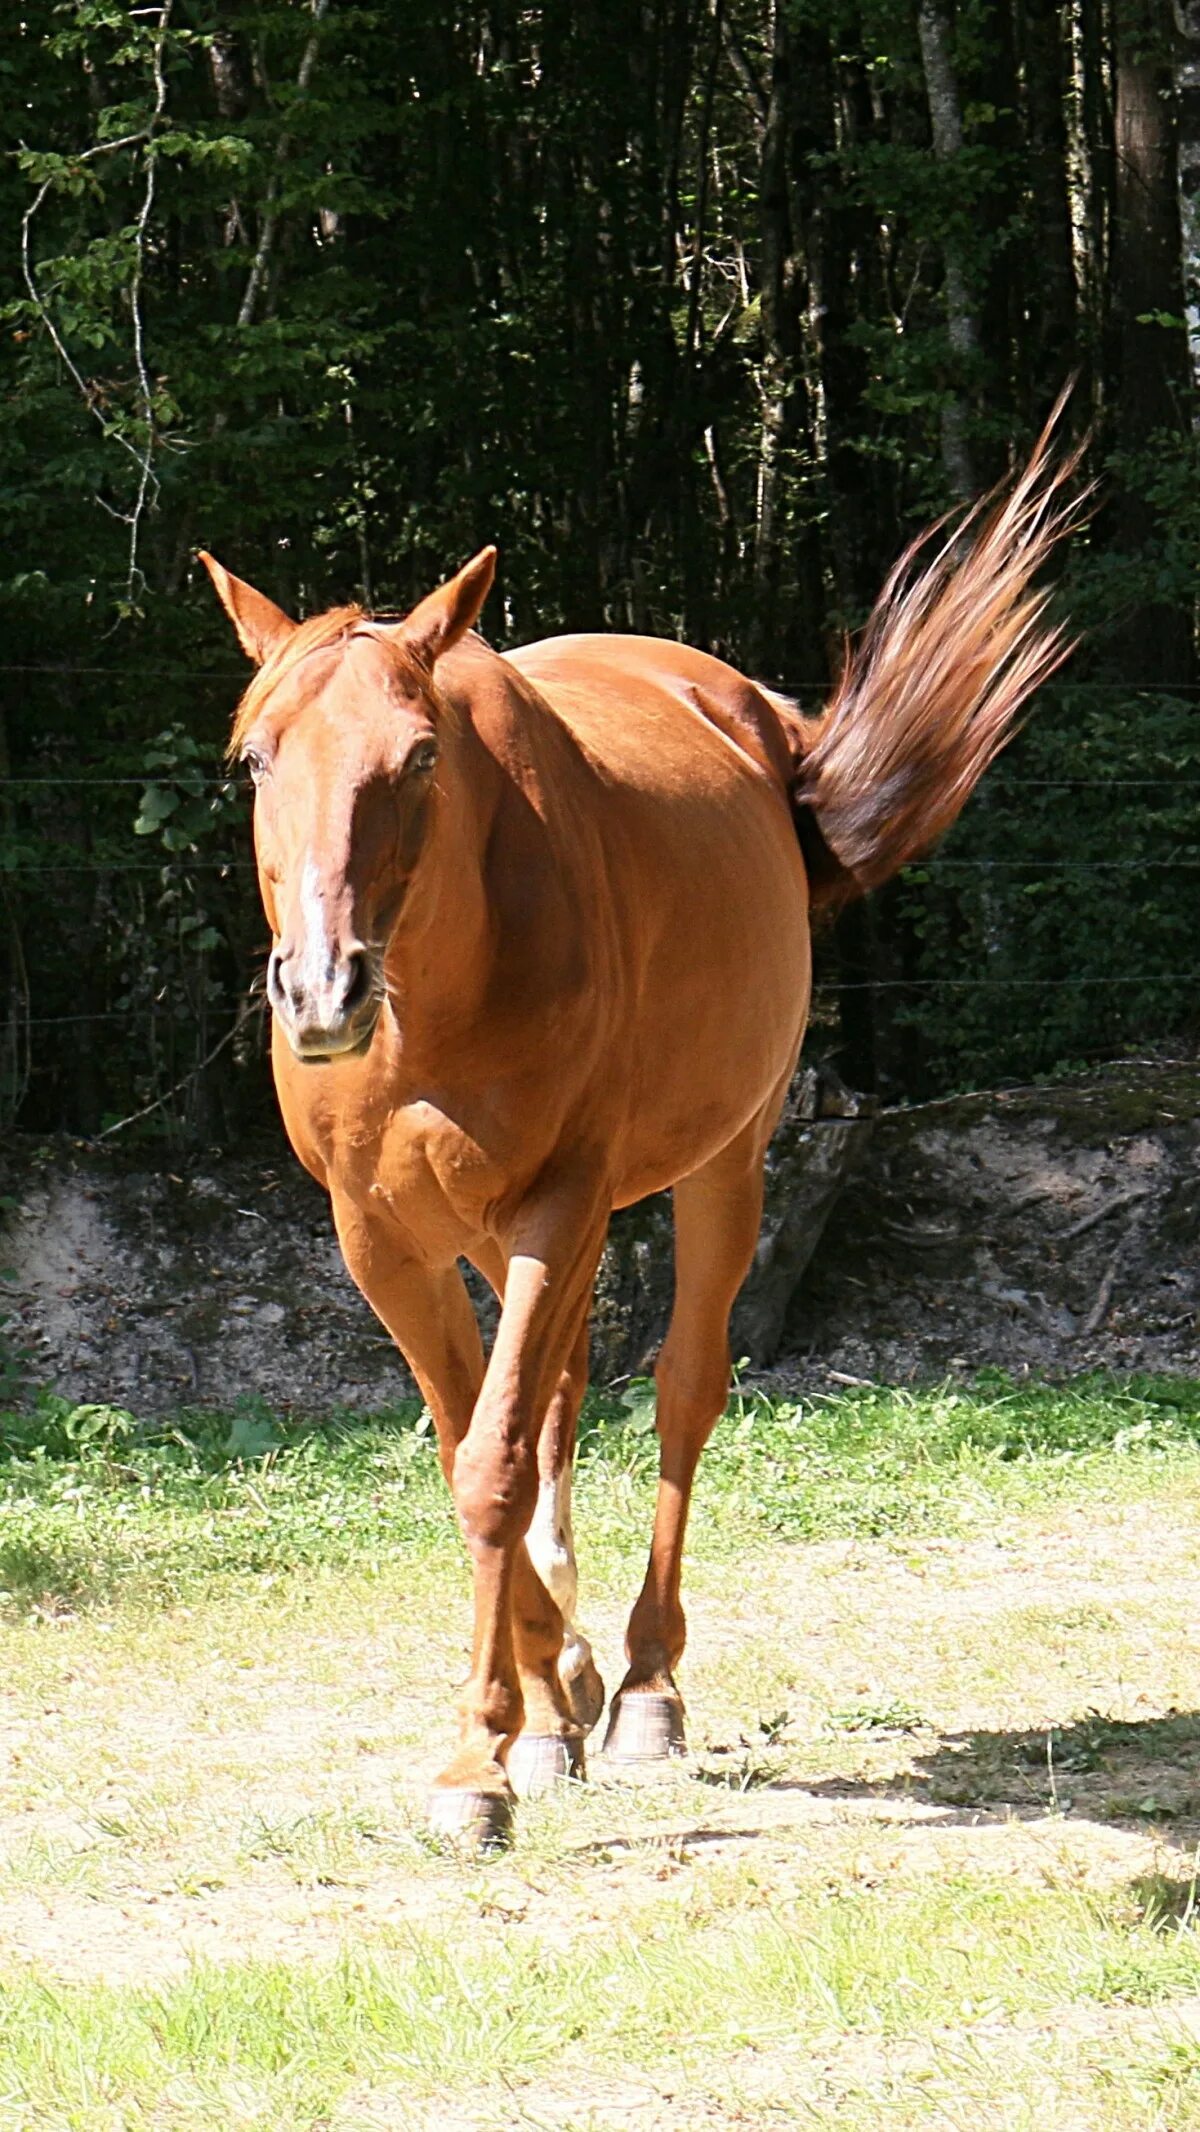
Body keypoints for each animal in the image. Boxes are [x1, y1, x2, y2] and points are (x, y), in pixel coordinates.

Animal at [199, 420, 1078, 1850]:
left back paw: (646, 1686)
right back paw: (569, 1681)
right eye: (257, 757)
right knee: (562, 1400)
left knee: (680, 1390)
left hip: (724, 1164)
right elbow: (477, 1447)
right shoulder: (382, 1237)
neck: (441, 995)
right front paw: (534, 1703)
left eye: (422, 754)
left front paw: (480, 1757)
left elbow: (494, 1464)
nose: (324, 989)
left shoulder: (561, 1203)